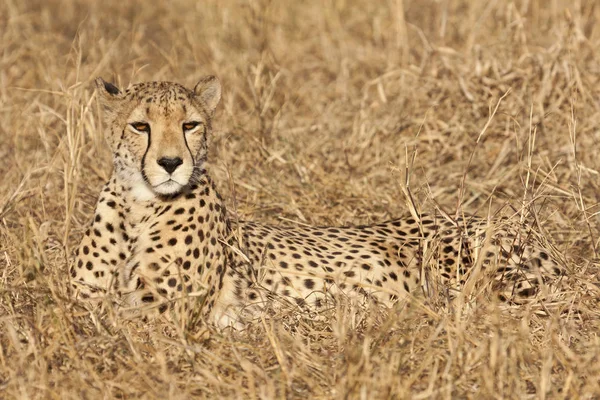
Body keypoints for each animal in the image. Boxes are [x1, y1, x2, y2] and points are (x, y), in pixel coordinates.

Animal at [72, 76, 568, 328]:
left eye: (190, 124)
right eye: (141, 126)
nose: (172, 163)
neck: (139, 207)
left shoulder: (162, 312)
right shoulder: (84, 300)